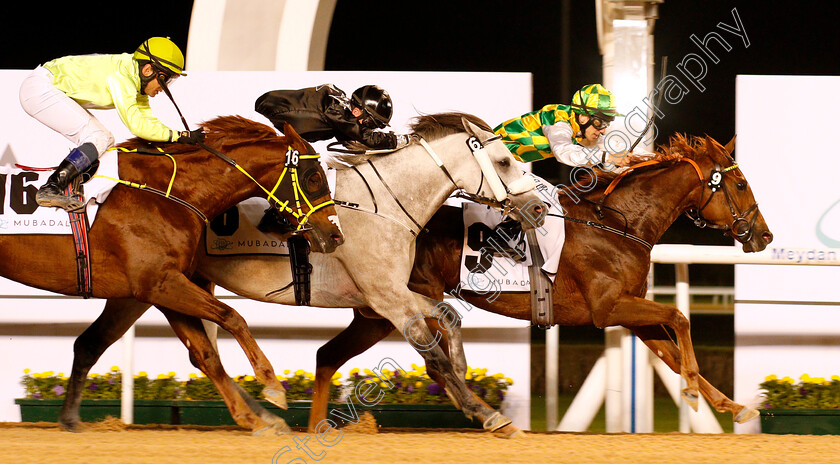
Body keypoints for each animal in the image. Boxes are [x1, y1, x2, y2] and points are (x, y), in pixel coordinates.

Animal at [0, 116, 342, 436]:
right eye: (314, 178)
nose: (335, 235)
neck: (169, 194)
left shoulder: (154, 290)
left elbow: (204, 354)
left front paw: (253, 419)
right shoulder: (161, 284)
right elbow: (232, 317)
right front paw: (271, 386)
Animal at [304, 132, 776, 430]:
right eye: (740, 183)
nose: (764, 235)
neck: (618, 224)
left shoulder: (630, 312)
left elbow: (671, 351)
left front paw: (733, 406)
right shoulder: (608, 308)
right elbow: (680, 317)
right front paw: (695, 393)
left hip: (374, 313)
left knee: (327, 355)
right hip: (394, 307)